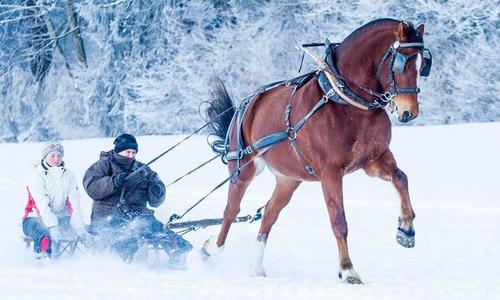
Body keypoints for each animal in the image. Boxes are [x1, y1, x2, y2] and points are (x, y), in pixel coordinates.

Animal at [202, 19, 430, 284]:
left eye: (423, 65)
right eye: (403, 62)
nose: (409, 112)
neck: (348, 101)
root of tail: (245, 105)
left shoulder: (374, 159)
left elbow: (401, 178)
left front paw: (406, 229)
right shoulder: (331, 172)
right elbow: (338, 221)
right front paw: (348, 270)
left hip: (289, 178)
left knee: (269, 213)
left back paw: (256, 268)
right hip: (244, 168)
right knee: (230, 210)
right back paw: (211, 247)